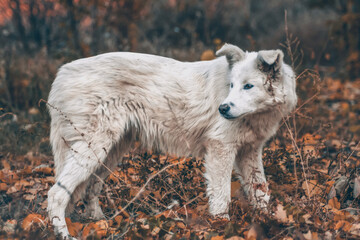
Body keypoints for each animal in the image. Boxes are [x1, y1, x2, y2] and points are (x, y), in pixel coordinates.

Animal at [47, 43, 296, 238]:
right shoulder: (220, 150)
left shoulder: (250, 152)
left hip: (110, 153)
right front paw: (221, 227)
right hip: (93, 151)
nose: (223, 109)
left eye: (248, 86)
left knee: (90, 190)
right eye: (232, 85)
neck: (257, 115)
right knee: (56, 194)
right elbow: (221, 197)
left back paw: (102, 225)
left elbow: (261, 192)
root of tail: (60, 75)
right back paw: (65, 234)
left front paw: (269, 222)